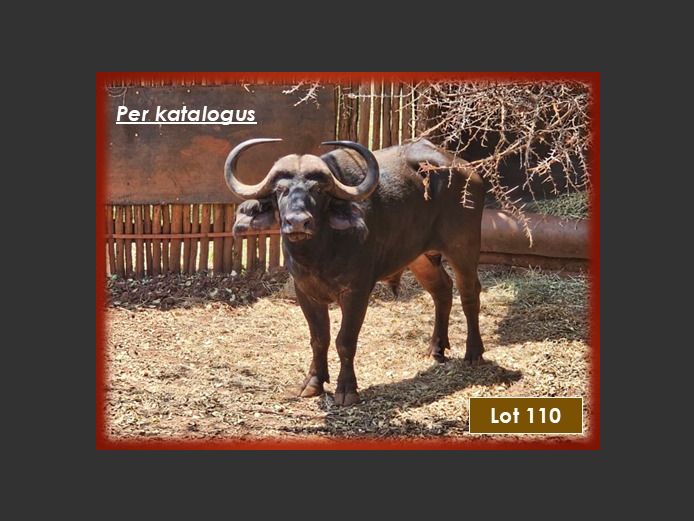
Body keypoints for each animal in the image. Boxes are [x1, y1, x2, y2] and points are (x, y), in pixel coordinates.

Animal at [224, 138, 485, 405]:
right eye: (280, 190)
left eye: (318, 190)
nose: (297, 222)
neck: (320, 254)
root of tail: (467, 170)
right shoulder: (305, 291)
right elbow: (319, 338)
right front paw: (313, 383)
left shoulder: (357, 292)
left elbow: (345, 340)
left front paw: (346, 388)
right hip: (420, 258)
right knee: (442, 290)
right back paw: (436, 348)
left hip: (463, 249)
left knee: (469, 294)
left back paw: (474, 352)